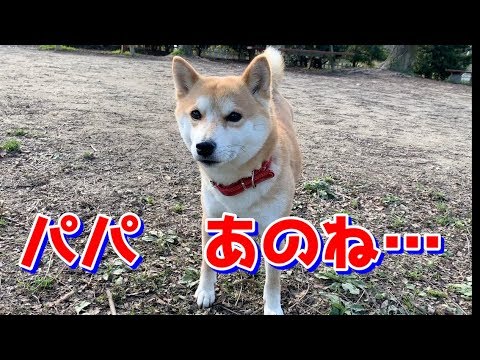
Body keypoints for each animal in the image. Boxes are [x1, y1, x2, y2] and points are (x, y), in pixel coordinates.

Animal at [172, 46, 300, 314]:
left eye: (234, 116)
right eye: (195, 114)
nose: (204, 146)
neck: (237, 182)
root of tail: (273, 92)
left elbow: (273, 278)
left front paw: (273, 307)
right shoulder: (210, 217)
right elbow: (207, 261)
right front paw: (206, 291)